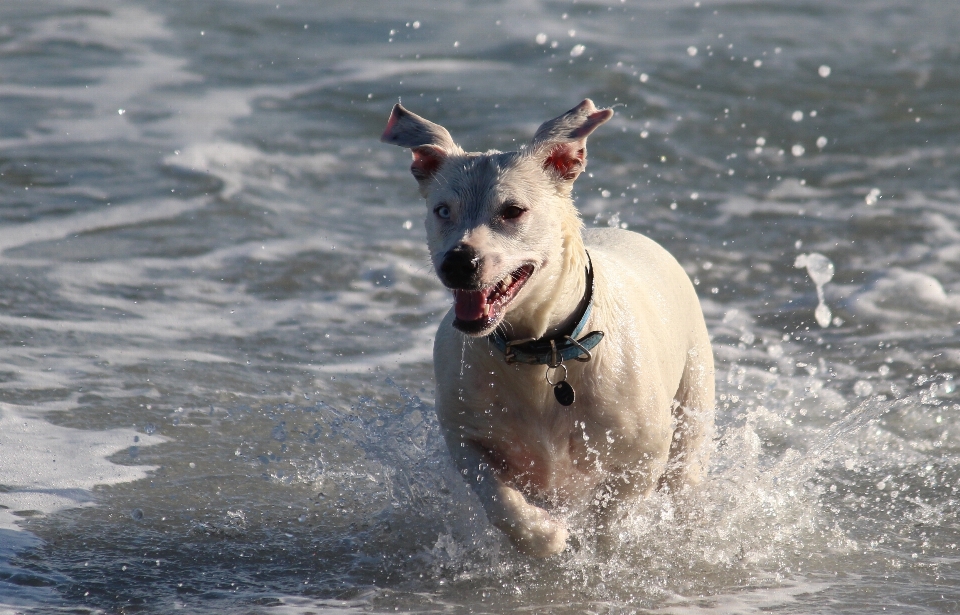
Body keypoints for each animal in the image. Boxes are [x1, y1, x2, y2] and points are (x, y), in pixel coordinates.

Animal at [382, 98, 712, 556]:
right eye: (442, 211)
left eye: (512, 210)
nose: (458, 261)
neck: (539, 348)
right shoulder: (466, 435)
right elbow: (497, 496)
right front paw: (545, 535)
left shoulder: (644, 453)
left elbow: (615, 514)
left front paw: (600, 546)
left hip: (693, 402)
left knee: (685, 474)